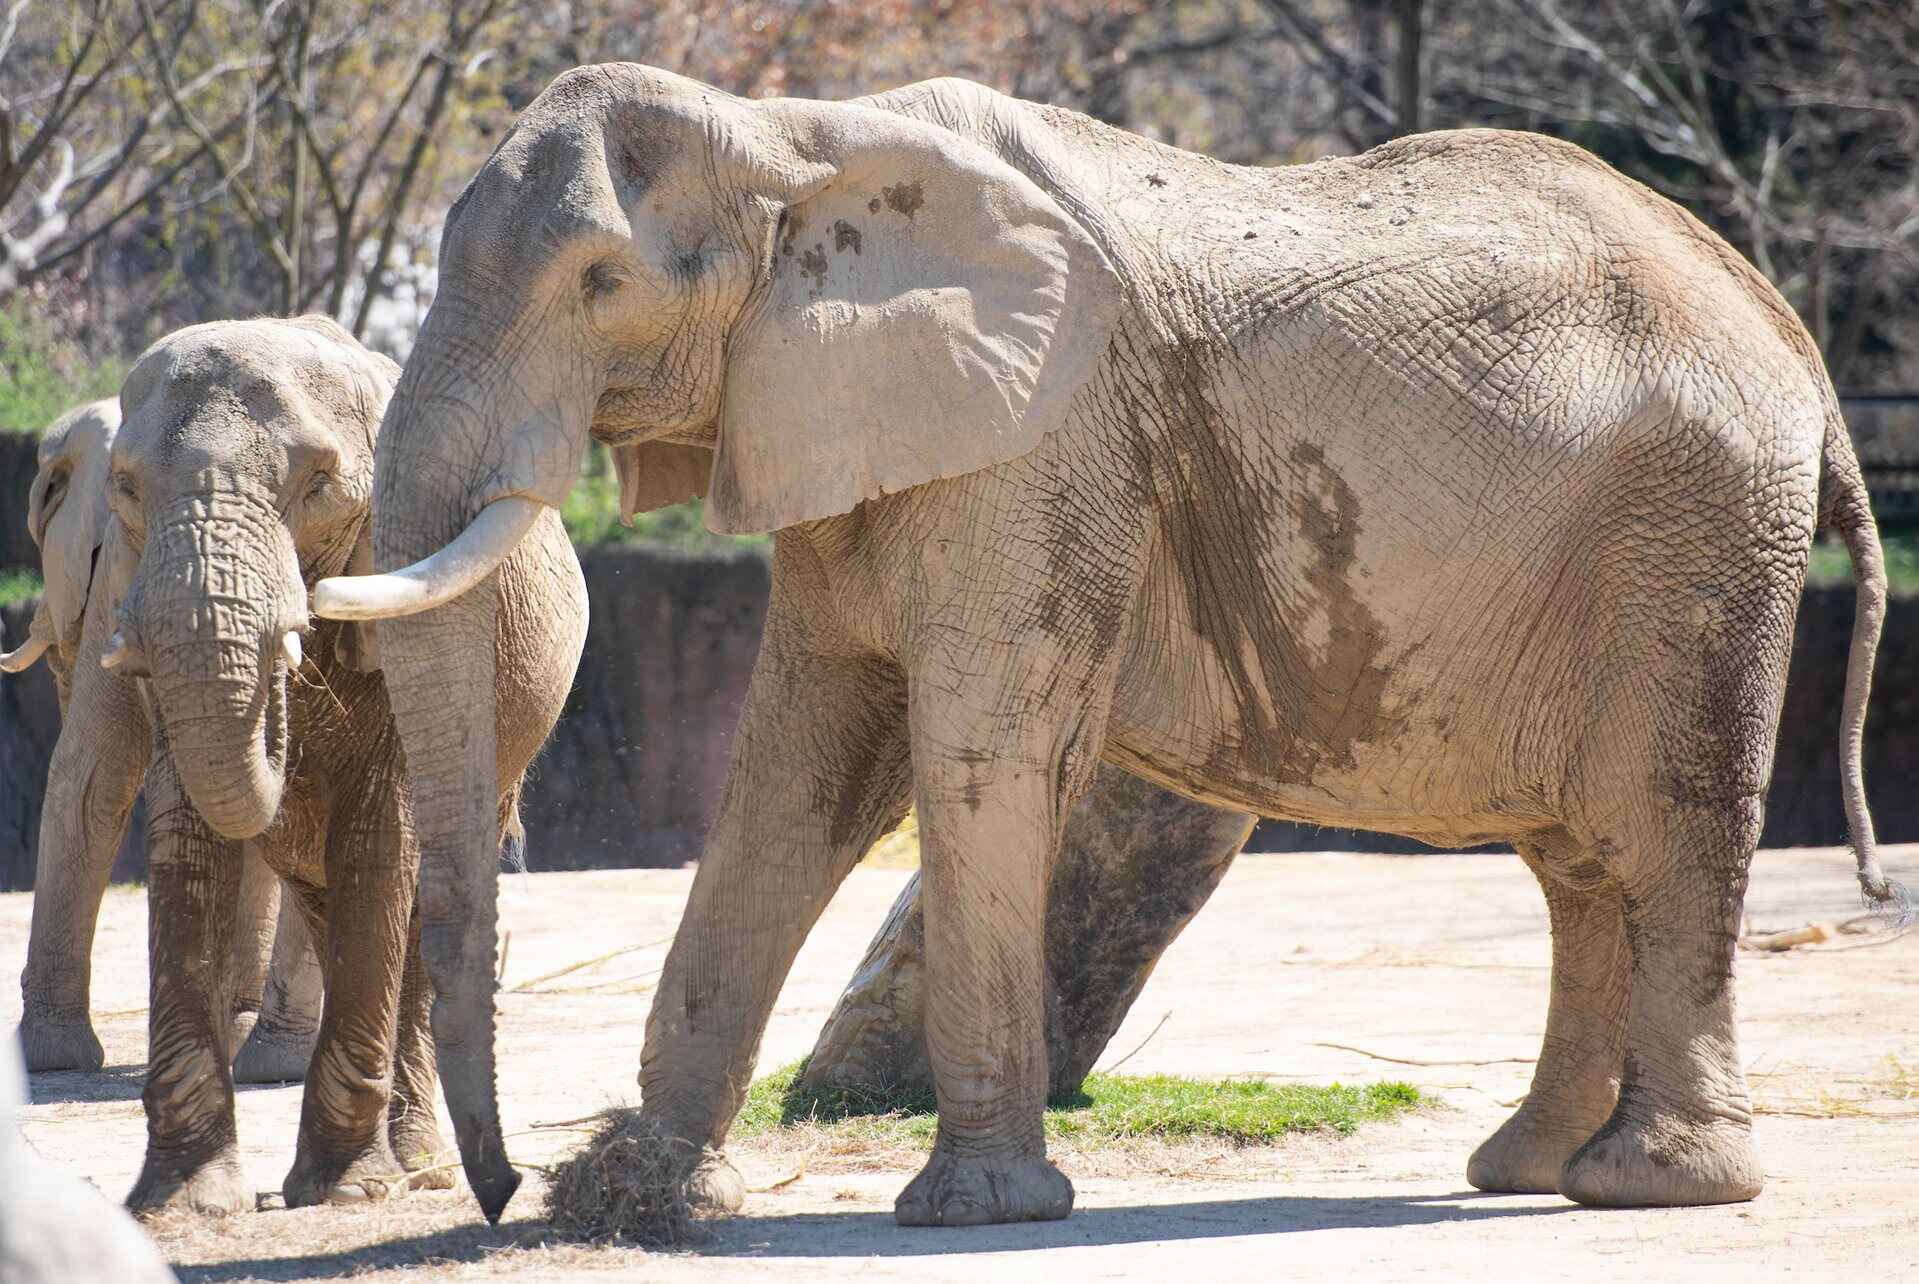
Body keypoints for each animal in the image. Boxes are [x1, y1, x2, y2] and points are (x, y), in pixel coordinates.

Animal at [99, 314, 583, 1205]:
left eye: (319, 484)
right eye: (125, 486)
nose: (284, 685)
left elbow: (380, 839)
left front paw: (343, 1191)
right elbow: (185, 837)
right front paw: (183, 1201)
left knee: (417, 905)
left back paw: (418, 1165)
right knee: (325, 900)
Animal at [314, 67, 1888, 1220]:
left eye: (597, 282)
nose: (501, 1194)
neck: (790, 129)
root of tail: (1791, 340)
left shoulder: (1042, 447)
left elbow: (977, 760)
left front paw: (978, 1211)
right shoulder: (847, 423)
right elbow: (798, 770)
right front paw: (642, 1200)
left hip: (1693, 534)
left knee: (1667, 822)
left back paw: (1650, 1187)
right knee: (1575, 859)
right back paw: (1522, 1172)